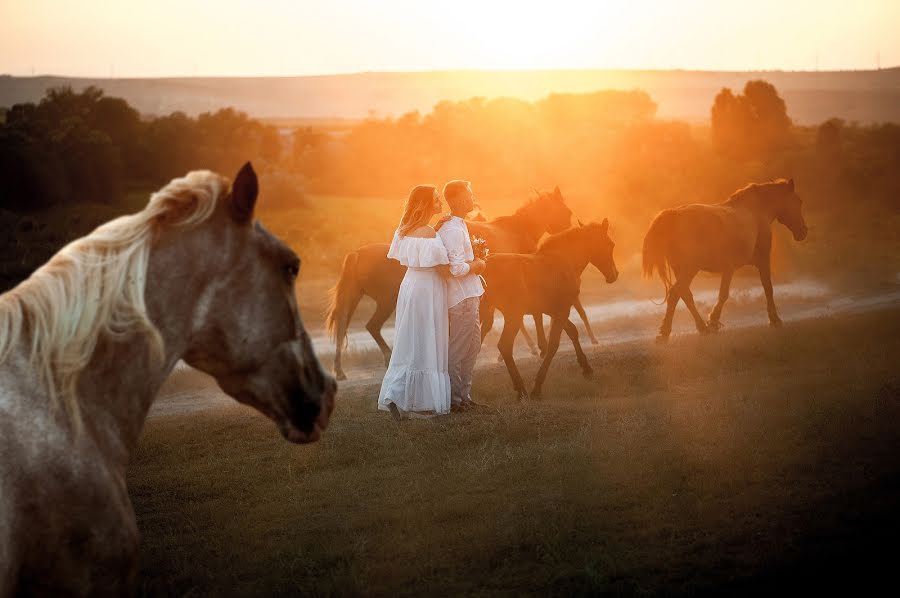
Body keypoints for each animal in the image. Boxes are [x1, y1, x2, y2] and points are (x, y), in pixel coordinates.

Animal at [326, 188, 572, 380]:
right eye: (565, 210)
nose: (569, 227)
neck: (515, 232)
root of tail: (356, 254)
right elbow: (527, 315)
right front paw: (539, 347)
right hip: (385, 301)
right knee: (371, 326)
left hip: (356, 297)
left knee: (345, 327)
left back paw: (341, 369)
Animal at [478, 221, 620, 404]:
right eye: (610, 244)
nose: (614, 275)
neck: (565, 259)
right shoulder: (562, 310)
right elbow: (554, 344)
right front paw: (537, 389)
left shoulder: (554, 311)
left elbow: (572, 331)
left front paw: (587, 368)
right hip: (513, 315)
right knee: (504, 346)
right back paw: (521, 390)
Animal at [640, 178, 808, 342]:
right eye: (798, 201)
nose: (803, 231)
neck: (756, 211)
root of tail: (674, 214)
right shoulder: (760, 261)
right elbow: (765, 289)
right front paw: (774, 320)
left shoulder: (729, 268)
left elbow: (724, 294)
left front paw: (712, 322)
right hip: (689, 269)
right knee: (676, 294)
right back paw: (667, 332)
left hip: (681, 269)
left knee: (684, 295)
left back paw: (700, 328)